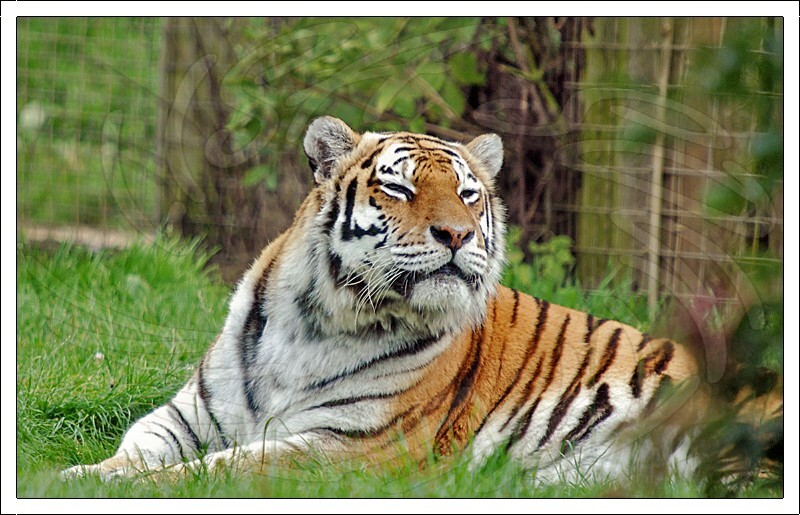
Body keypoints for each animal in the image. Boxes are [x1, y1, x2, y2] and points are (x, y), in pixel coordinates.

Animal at [61, 116, 771, 484]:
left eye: (467, 194)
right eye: (399, 189)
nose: (456, 234)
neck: (317, 319)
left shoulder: (350, 446)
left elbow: (214, 471)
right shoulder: (188, 416)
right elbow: (135, 448)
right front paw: (79, 477)